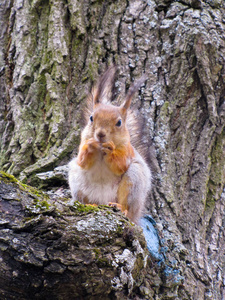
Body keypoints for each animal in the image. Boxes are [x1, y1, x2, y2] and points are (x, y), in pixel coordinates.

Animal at [68, 67, 152, 224]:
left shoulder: (126, 150)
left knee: (127, 205)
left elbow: (120, 165)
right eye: (91, 118)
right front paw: (91, 146)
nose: (100, 134)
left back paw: (120, 207)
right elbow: (82, 161)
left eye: (119, 122)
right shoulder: (82, 143)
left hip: (134, 181)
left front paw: (110, 149)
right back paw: (91, 204)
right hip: (77, 181)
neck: (100, 151)